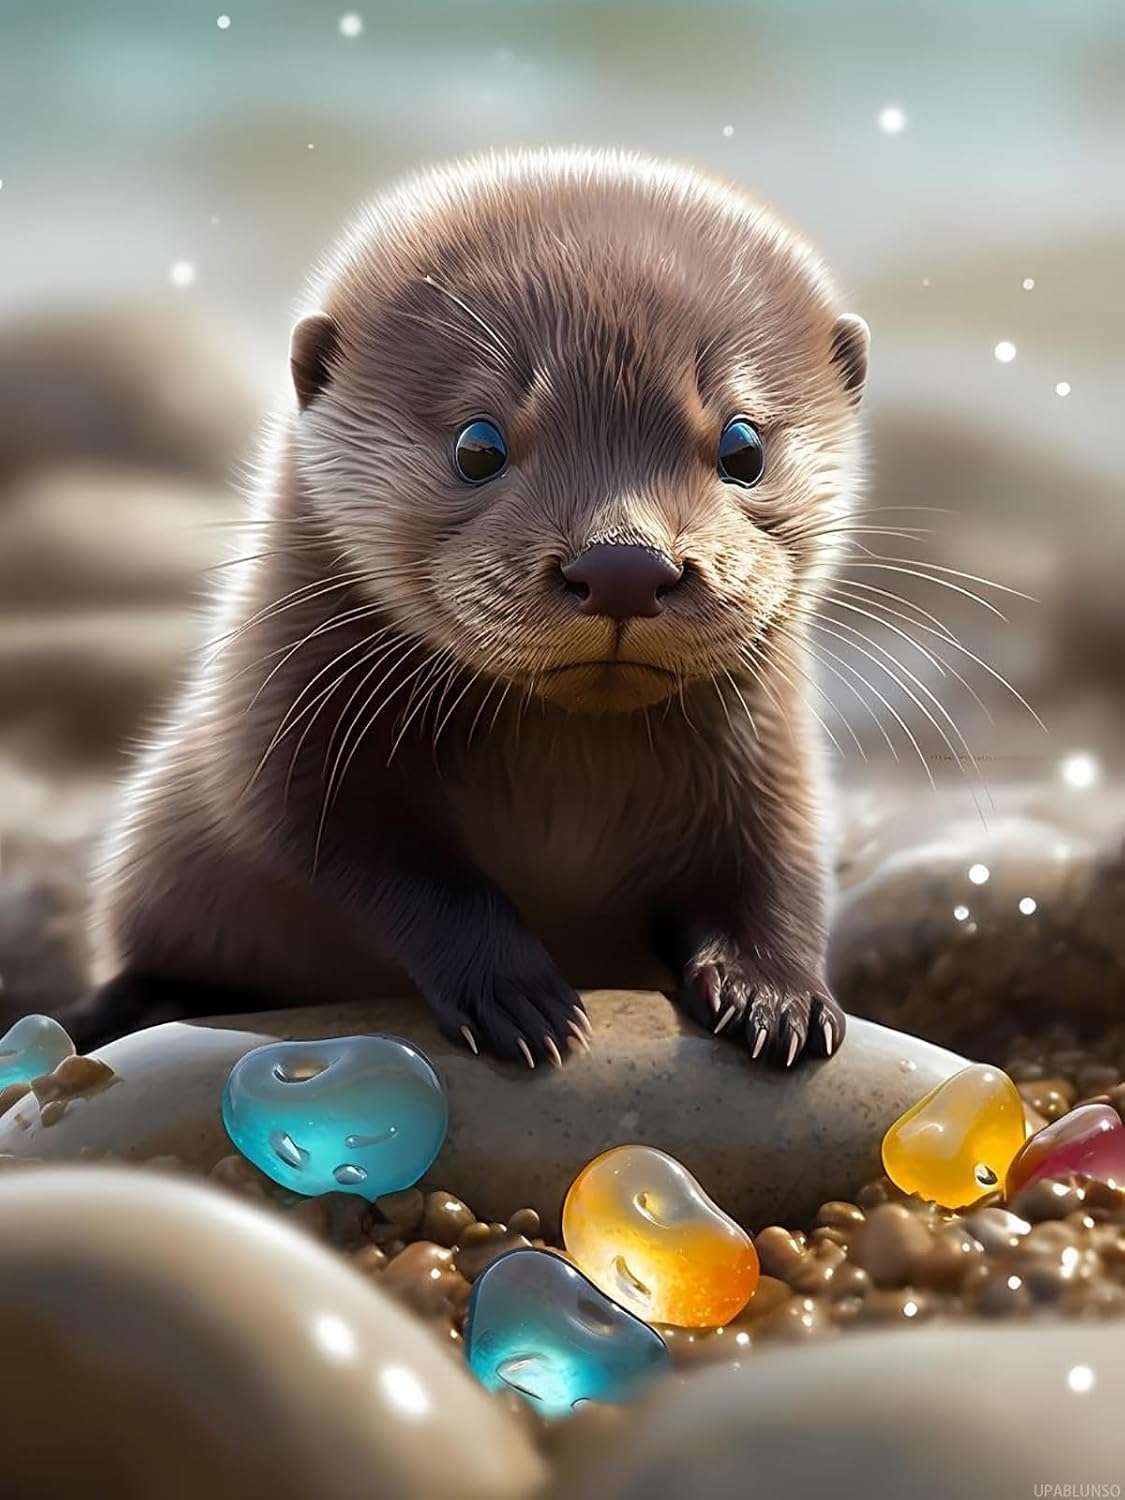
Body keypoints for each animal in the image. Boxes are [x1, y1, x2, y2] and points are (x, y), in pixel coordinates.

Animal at [67, 148, 870, 1070]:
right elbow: (377, 865)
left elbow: (772, 881)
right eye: (477, 444)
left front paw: (775, 996)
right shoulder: (284, 746)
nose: (622, 565)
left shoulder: (772, 774)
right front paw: (518, 999)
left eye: (743, 445)